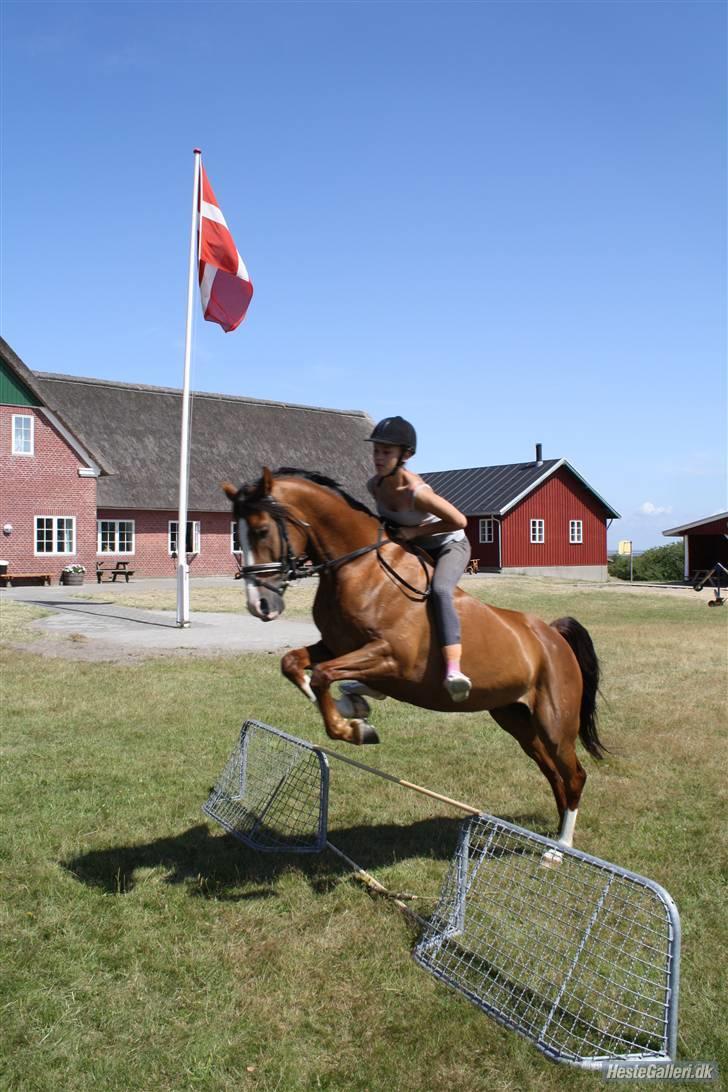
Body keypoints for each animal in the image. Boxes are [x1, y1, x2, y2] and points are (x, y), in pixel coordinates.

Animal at [224, 465, 606, 847]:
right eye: (237, 533)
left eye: (260, 530)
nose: (259, 605)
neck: (359, 567)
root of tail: (552, 635)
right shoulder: (336, 646)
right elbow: (294, 664)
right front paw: (350, 706)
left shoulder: (392, 658)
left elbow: (324, 676)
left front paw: (354, 728)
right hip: (514, 717)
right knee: (552, 772)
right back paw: (553, 839)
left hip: (554, 722)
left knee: (574, 774)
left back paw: (559, 849)